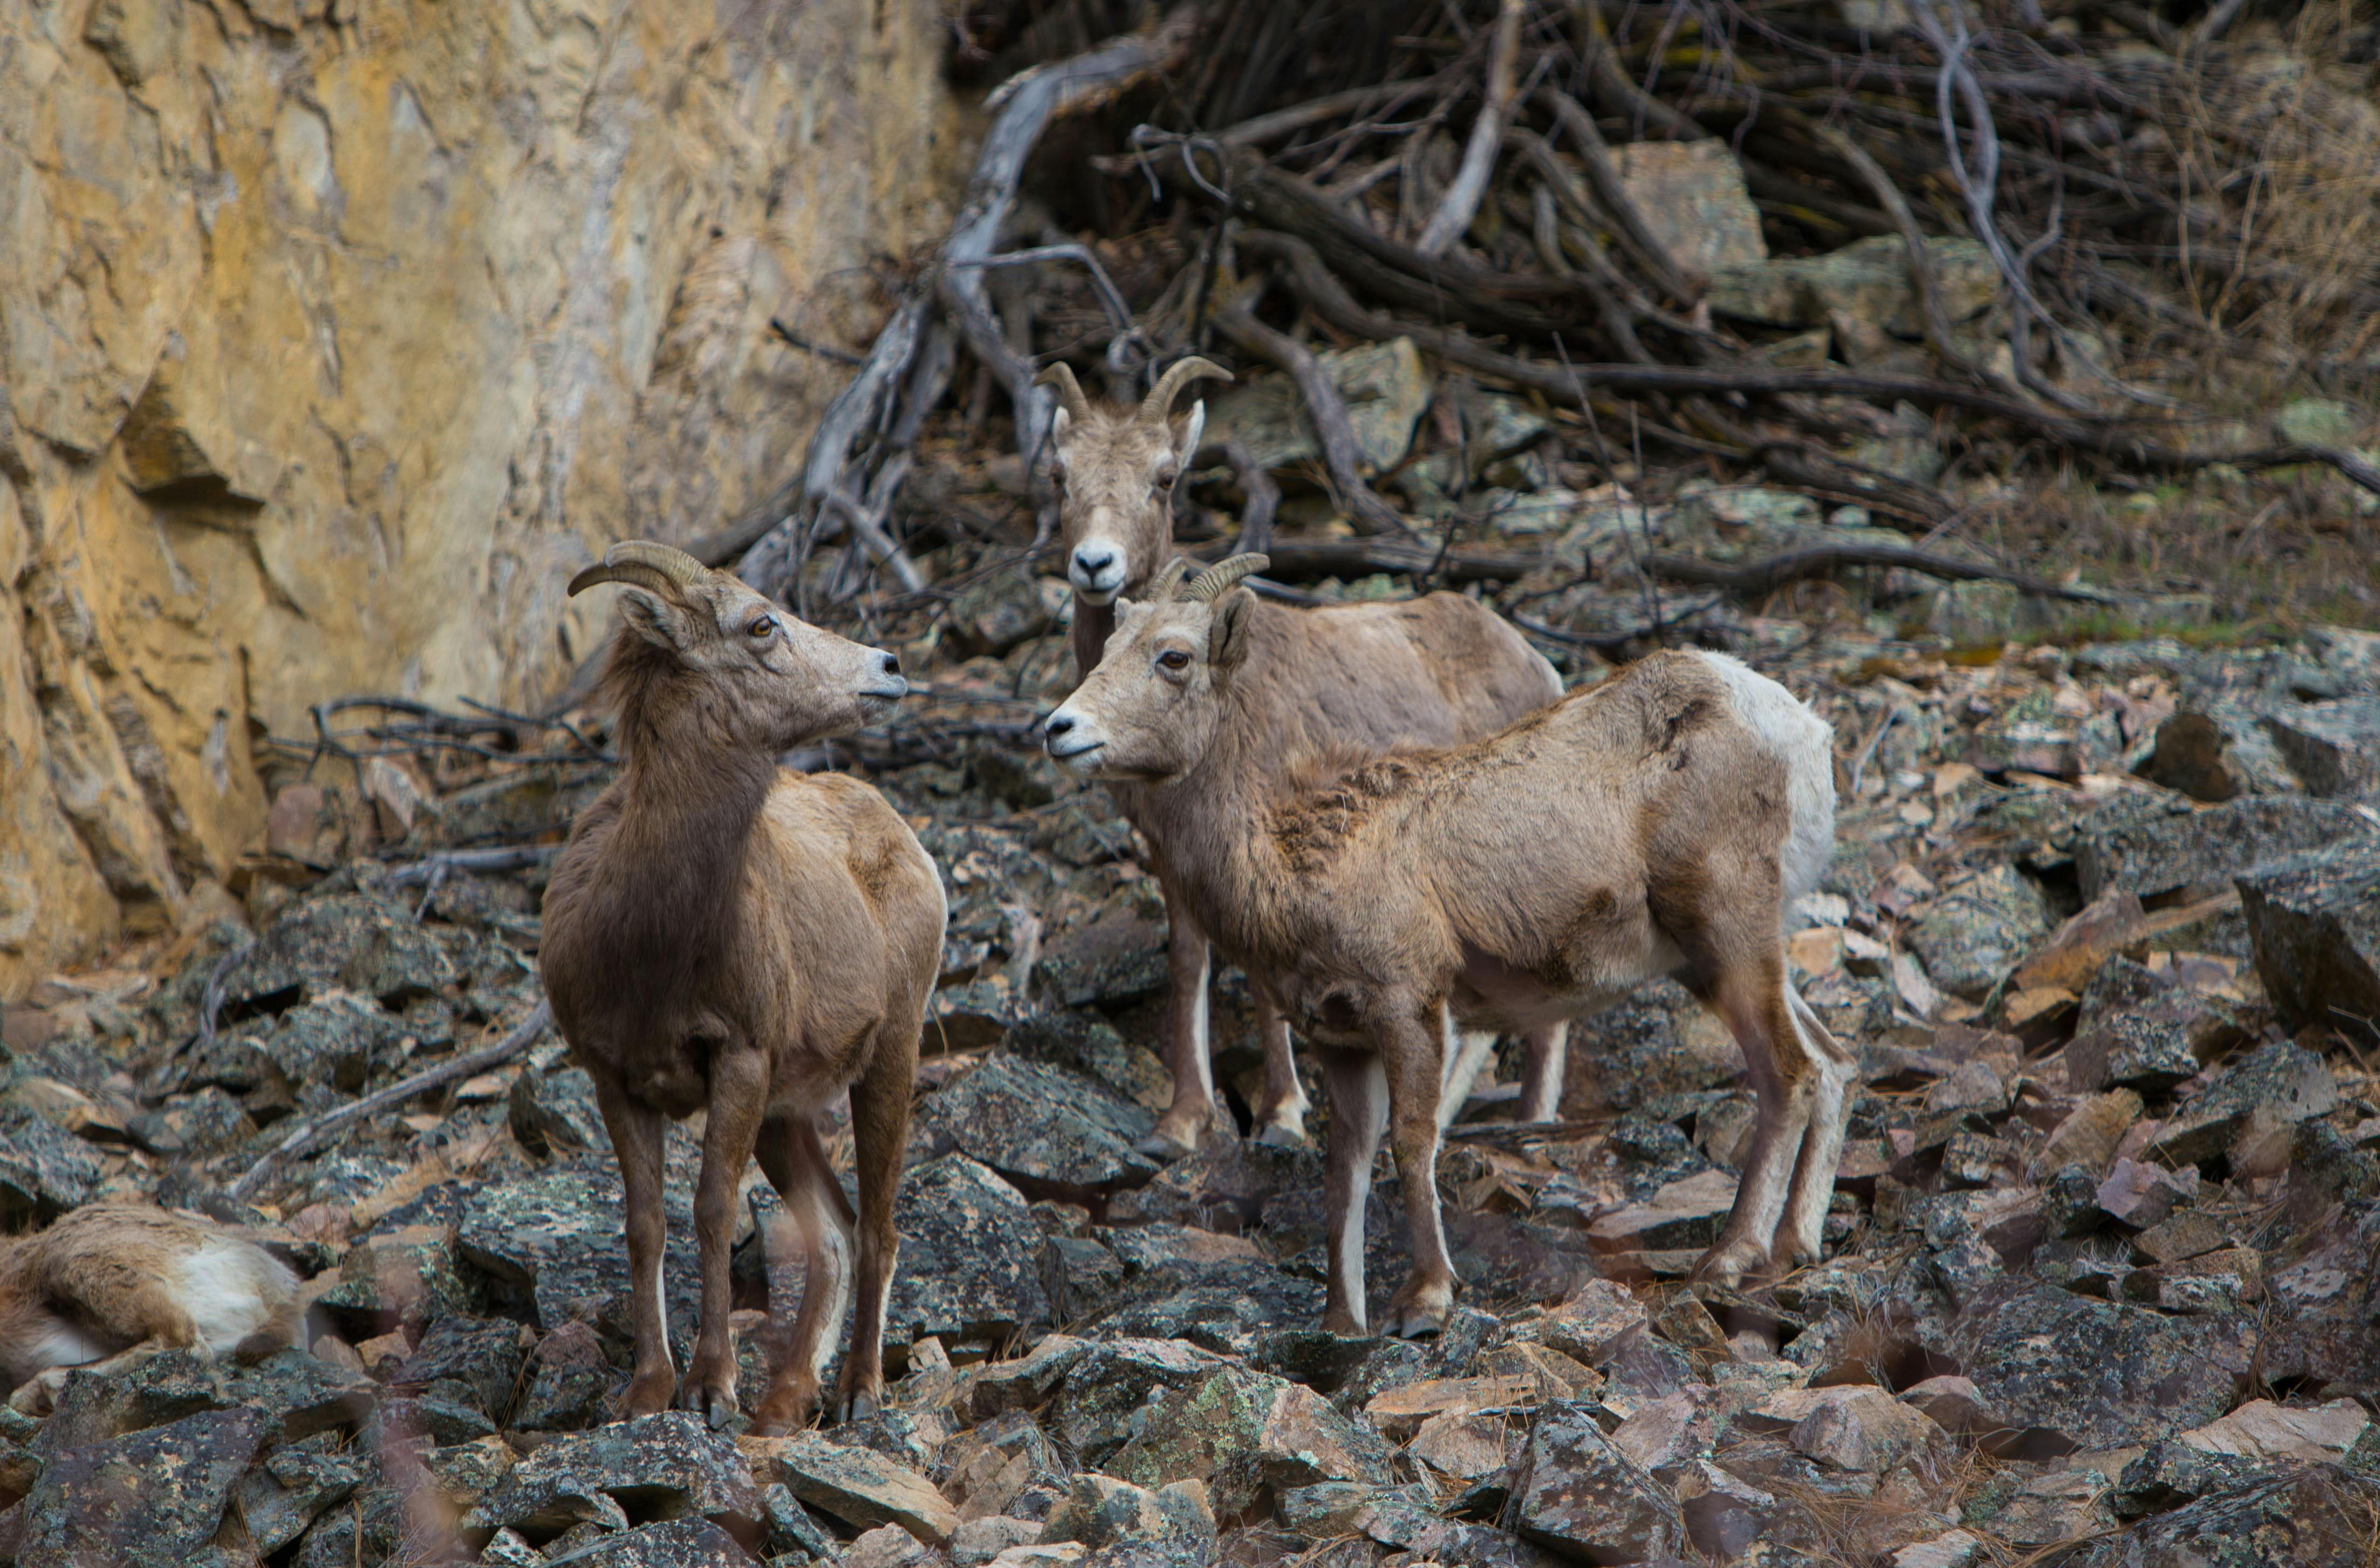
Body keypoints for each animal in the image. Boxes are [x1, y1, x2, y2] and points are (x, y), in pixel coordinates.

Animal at [540, 541, 946, 1433]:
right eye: (761, 625)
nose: (889, 668)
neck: (650, 942)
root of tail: (903, 837)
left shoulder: (740, 1059)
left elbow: (713, 1211)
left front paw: (712, 1389)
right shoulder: (616, 1078)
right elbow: (646, 1224)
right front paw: (646, 1391)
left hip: (888, 1059)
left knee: (880, 1230)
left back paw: (858, 1394)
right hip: (787, 1116)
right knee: (836, 1233)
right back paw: (789, 1398)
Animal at [1038, 359, 1572, 1153]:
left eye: (1164, 477)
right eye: (1059, 477)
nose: (1095, 563)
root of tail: (1535, 662)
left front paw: (1281, 1115)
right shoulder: (1170, 849)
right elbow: (1191, 960)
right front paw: (1184, 1121)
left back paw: (1530, 1119)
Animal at [1041, 555, 1850, 1335]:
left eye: (1172, 657)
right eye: (1106, 649)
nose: (1059, 728)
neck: (1291, 856)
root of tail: (1797, 730)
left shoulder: (1408, 1004)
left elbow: (1412, 1140)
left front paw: (1426, 1301)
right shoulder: (1341, 1042)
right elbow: (1346, 1169)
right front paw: (1342, 1321)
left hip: (1726, 932)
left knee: (1790, 1073)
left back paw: (1728, 1257)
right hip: (1728, 954)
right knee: (1834, 1061)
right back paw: (1792, 1247)